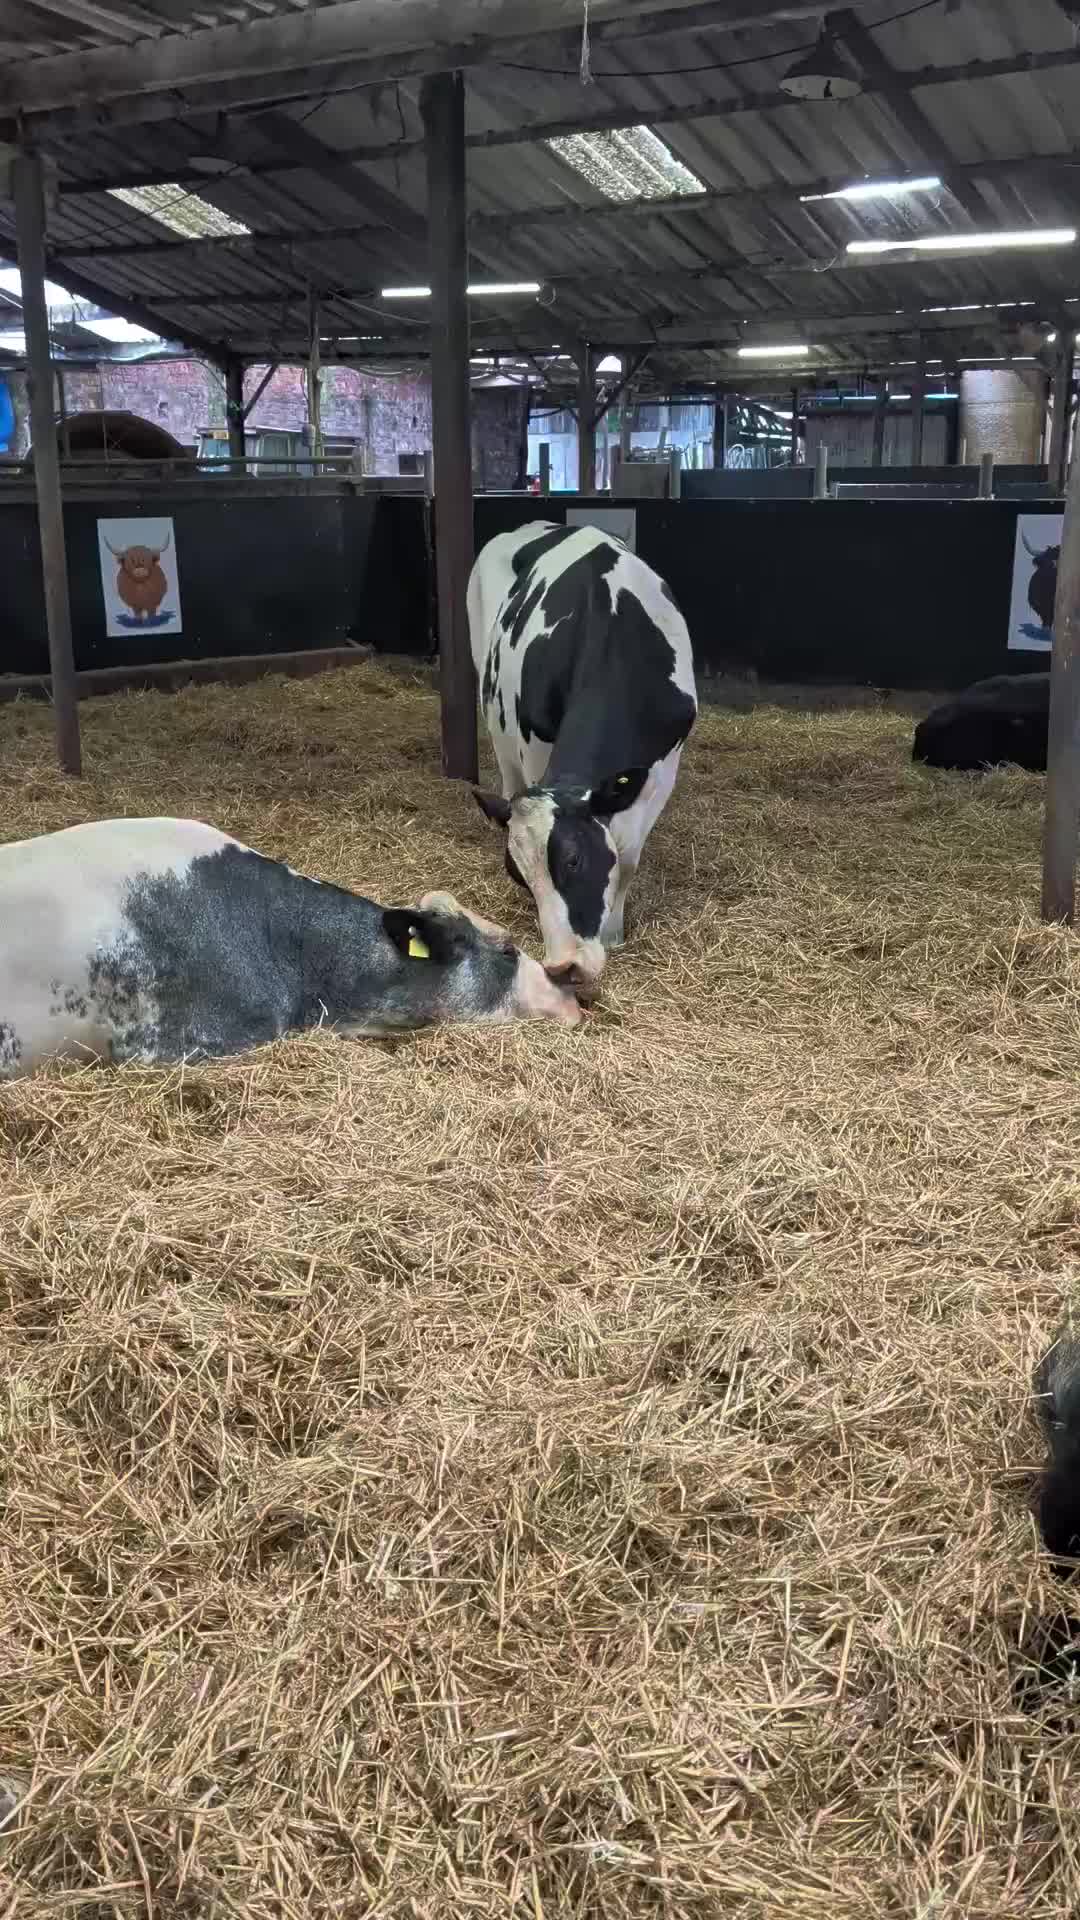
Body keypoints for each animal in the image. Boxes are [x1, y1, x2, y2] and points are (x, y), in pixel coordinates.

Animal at [468, 522, 697, 997]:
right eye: (516, 874)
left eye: (573, 859)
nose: (563, 967)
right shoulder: (533, 745)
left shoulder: (663, 768)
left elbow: (627, 859)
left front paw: (614, 931)